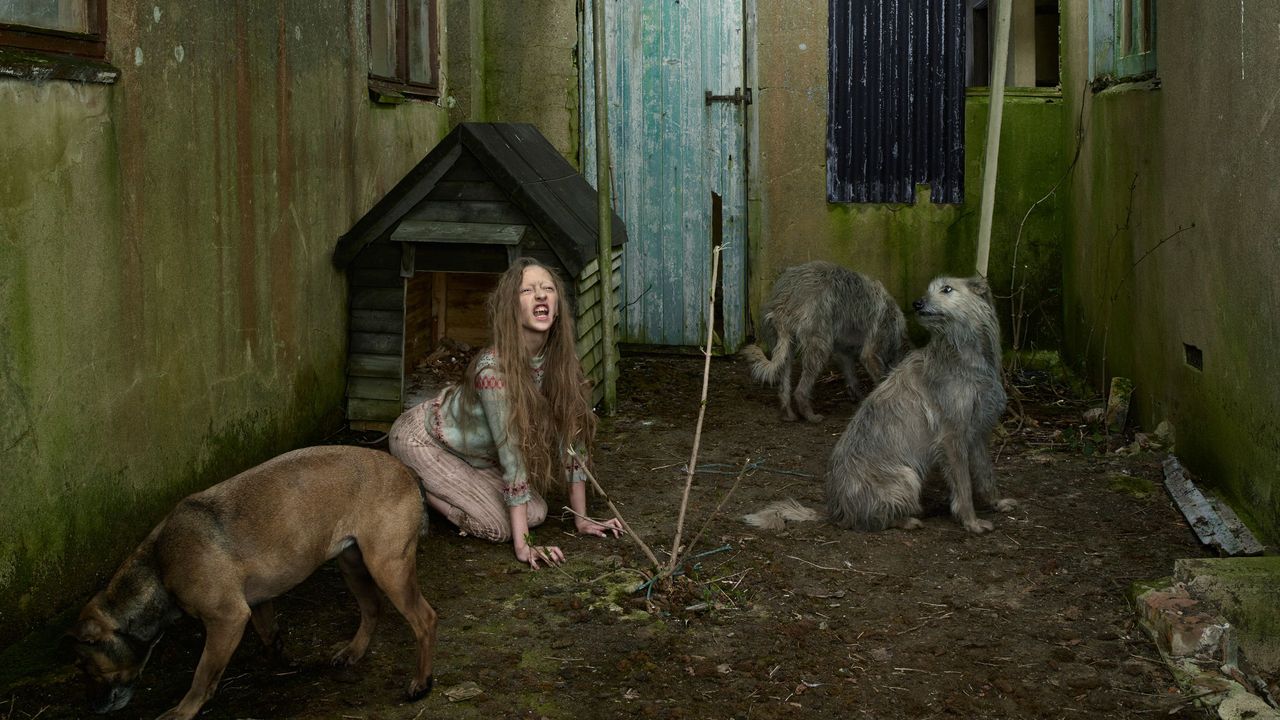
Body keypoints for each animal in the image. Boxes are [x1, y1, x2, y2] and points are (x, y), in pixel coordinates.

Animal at [71, 443, 440, 717]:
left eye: (86, 667)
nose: (93, 707)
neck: (158, 568)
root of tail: (404, 470)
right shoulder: (260, 602)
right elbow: (269, 635)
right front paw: (280, 662)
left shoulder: (227, 619)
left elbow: (203, 674)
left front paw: (183, 710)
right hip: (352, 563)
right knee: (372, 608)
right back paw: (353, 651)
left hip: (388, 566)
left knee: (425, 619)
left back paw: (421, 682)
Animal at [742, 260, 911, 420]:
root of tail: (785, 302)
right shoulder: (871, 352)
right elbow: (879, 376)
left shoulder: (843, 353)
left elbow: (852, 378)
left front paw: (859, 397)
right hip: (819, 346)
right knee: (801, 391)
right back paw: (810, 415)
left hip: (785, 347)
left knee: (784, 385)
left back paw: (788, 414)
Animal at [824, 274, 1013, 532]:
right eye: (930, 289)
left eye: (947, 289)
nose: (917, 303)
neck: (963, 357)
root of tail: (839, 510)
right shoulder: (952, 436)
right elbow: (963, 485)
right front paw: (971, 522)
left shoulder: (978, 433)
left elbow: (986, 475)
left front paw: (996, 503)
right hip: (907, 477)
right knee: (877, 519)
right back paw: (909, 520)